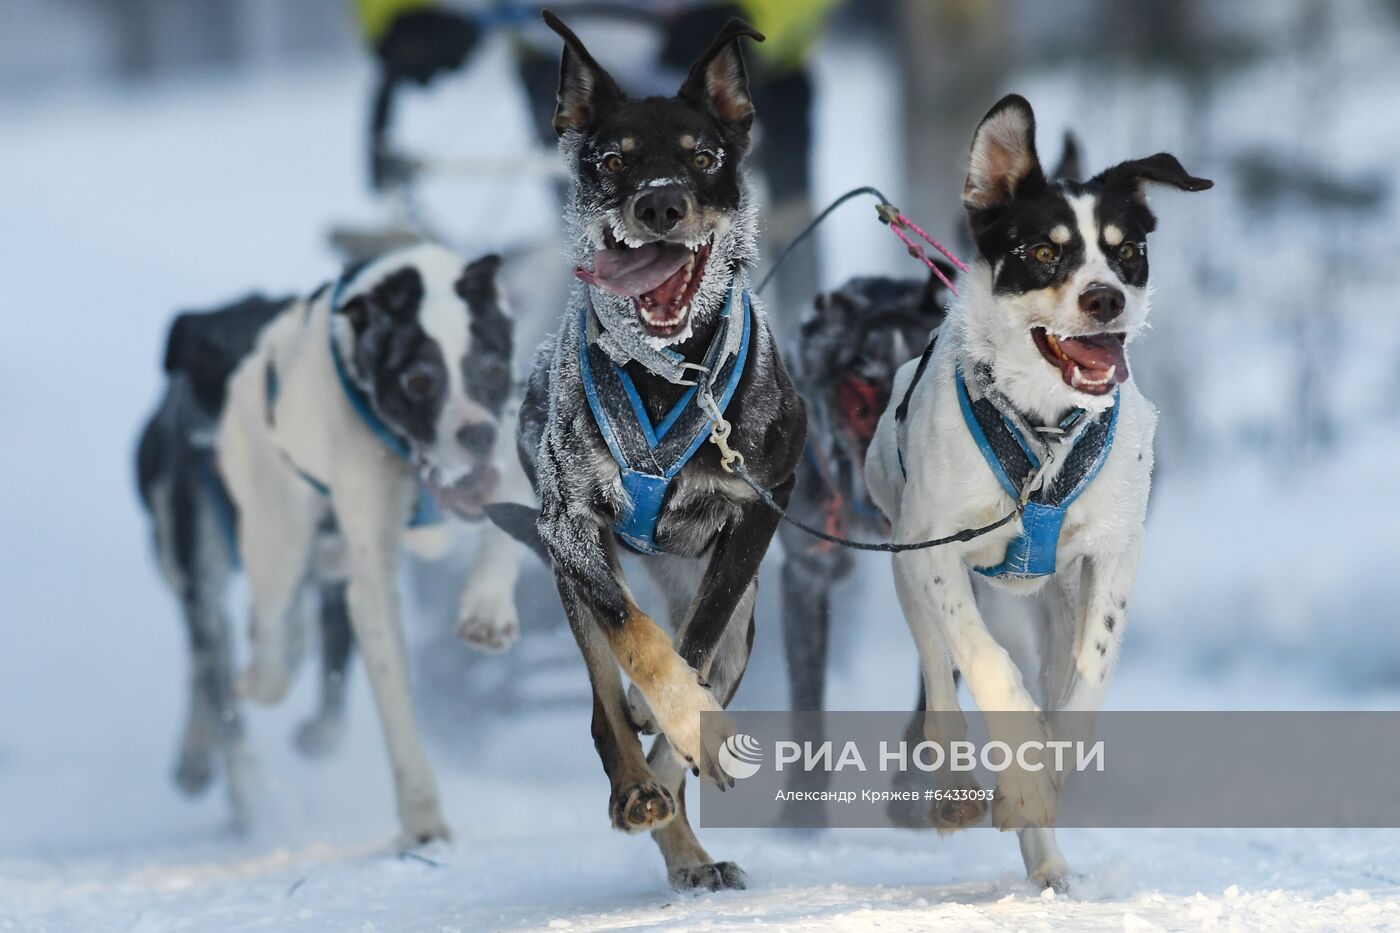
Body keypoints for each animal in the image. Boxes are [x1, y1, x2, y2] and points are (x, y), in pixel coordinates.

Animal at [136, 292, 355, 829]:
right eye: (207, 356)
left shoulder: (336, 561)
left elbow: (334, 666)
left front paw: (319, 733)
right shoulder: (204, 588)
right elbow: (224, 707)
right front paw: (249, 798)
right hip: (176, 563)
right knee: (202, 665)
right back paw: (195, 757)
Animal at [218, 240, 526, 840]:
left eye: (493, 368)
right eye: (419, 381)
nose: (476, 433)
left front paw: (486, 608)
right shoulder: (372, 584)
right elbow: (398, 708)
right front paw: (422, 816)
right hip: (276, 531)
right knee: (271, 635)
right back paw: (264, 663)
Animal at [498, 12, 806, 885]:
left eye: (703, 156)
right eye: (613, 159)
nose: (661, 202)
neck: (668, 376)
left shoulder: (760, 505)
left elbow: (696, 641)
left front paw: (687, 725)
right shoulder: (570, 527)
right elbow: (636, 638)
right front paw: (658, 710)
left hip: (741, 620)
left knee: (699, 672)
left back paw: (687, 842)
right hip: (570, 572)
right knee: (606, 706)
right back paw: (639, 791)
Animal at [868, 94, 1209, 885]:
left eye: (1126, 250)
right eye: (1044, 252)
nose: (1105, 298)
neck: (1044, 431)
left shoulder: (1114, 551)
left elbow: (1086, 683)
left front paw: (1049, 770)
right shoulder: (936, 550)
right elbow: (984, 665)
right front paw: (1018, 773)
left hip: (1048, 601)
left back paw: (1047, 860)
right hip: (909, 566)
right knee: (941, 676)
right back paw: (958, 786)